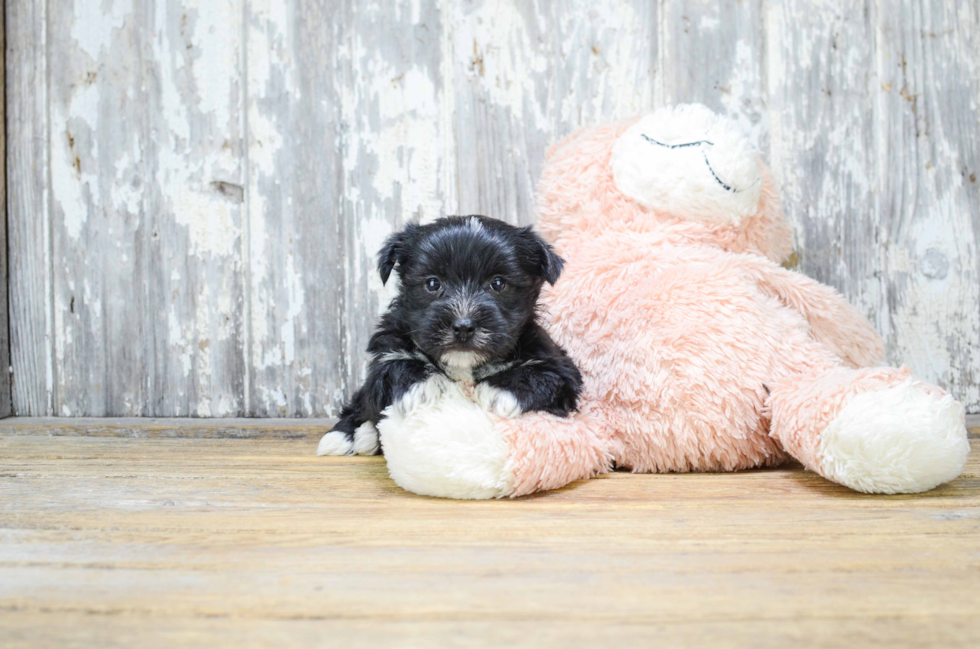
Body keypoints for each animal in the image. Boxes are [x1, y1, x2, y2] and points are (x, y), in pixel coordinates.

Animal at [318, 214, 580, 456]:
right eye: (433, 284)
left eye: (498, 283)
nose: (463, 326)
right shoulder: (386, 347)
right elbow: (394, 364)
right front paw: (421, 387)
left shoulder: (558, 366)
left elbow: (541, 375)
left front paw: (500, 391)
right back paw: (349, 435)